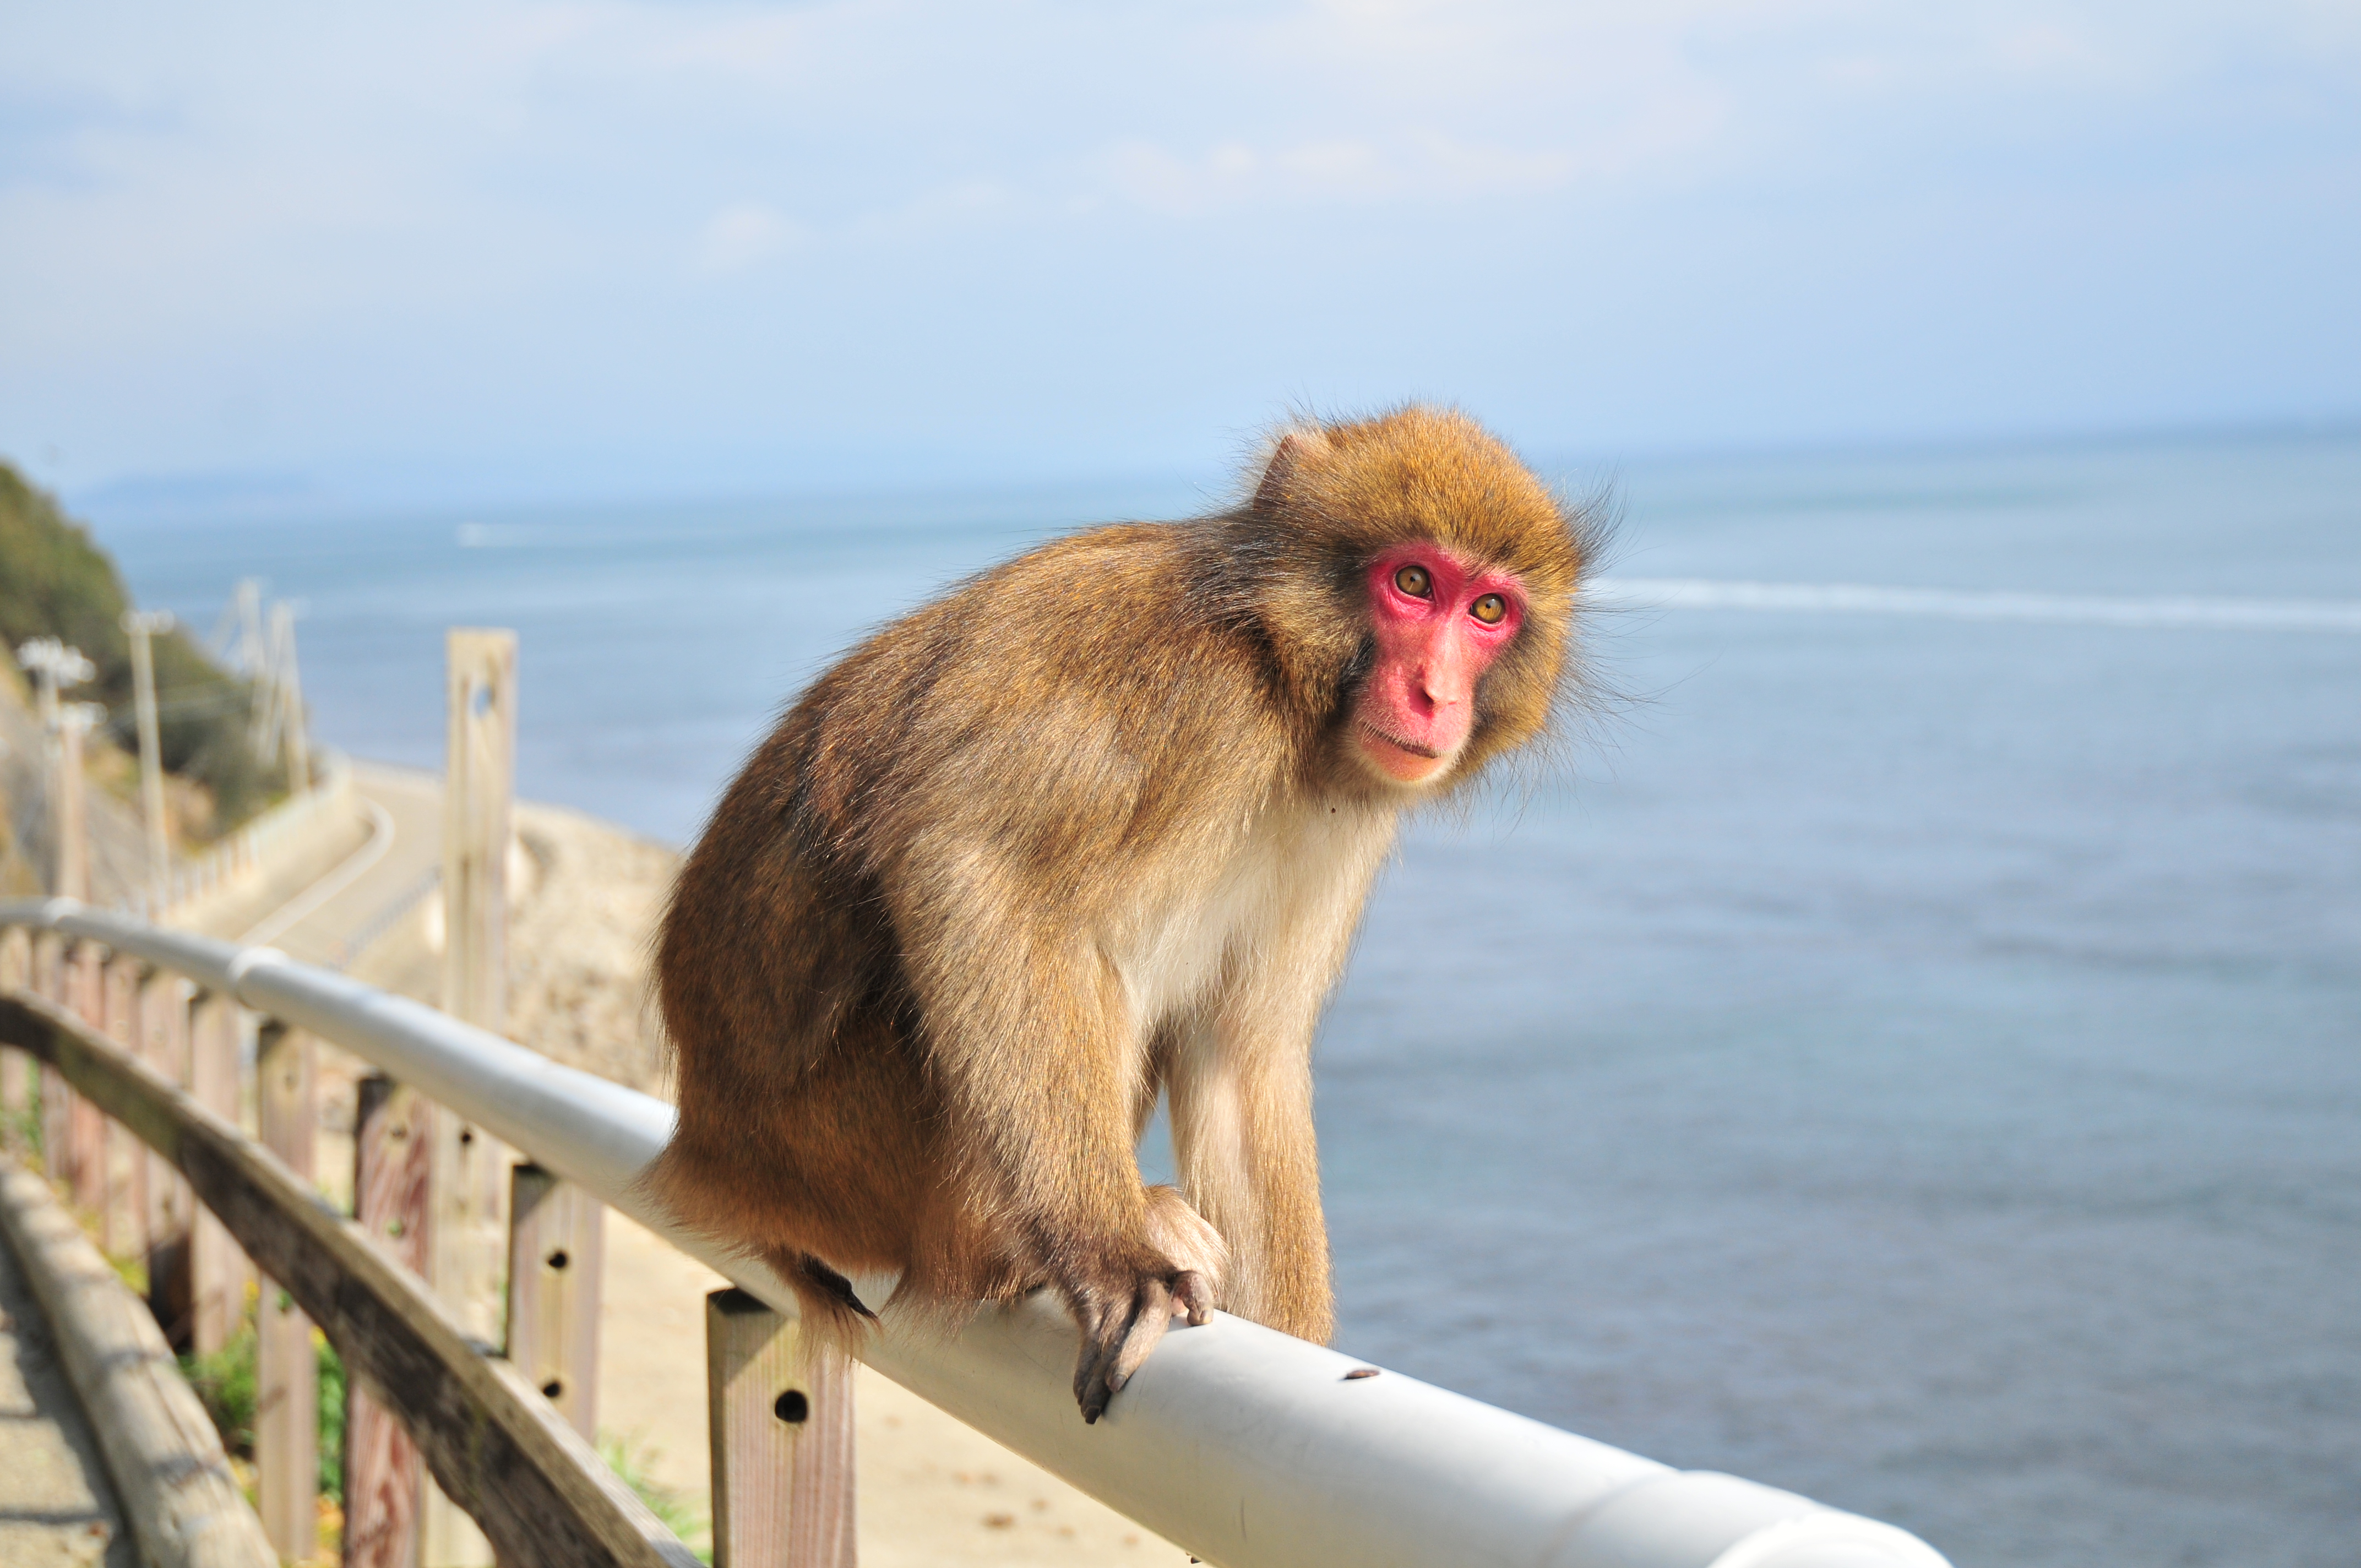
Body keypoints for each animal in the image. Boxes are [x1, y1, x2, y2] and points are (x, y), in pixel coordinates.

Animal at [656, 404, 1596, 1417]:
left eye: (1488, 610)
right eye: (1413, 583)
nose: (1434, 693)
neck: (1281, 679)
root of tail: (712, 1157)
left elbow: (1241, 1053)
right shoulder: (1194, 693)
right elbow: (981, 872)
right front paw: (1110, 1261)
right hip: (850, 1152)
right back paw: (1025, 1245)